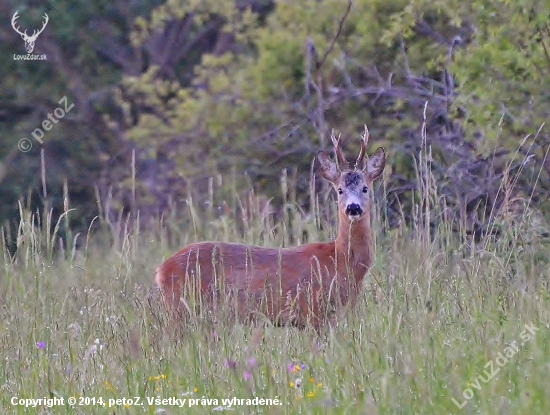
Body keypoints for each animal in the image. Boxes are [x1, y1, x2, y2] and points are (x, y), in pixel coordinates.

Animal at [157, 128, 386, 330]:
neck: (339, 260)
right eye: (339, 190)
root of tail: (161, 269)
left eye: (365, 188)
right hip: (183, 308)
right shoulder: (313, 312)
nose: (353, 208)